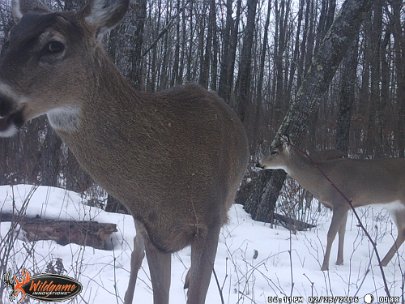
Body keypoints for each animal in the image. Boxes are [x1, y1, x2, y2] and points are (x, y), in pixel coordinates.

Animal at [258, 137, 404, 270]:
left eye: (274, 151)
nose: (258, 163)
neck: (323, 180)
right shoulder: (345, 205)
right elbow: (341, 232)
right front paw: (339, 262)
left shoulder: (341, 202)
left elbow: (331, 234)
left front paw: (324, 267)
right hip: (395, 207)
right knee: (402, 232)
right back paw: (381, 263)